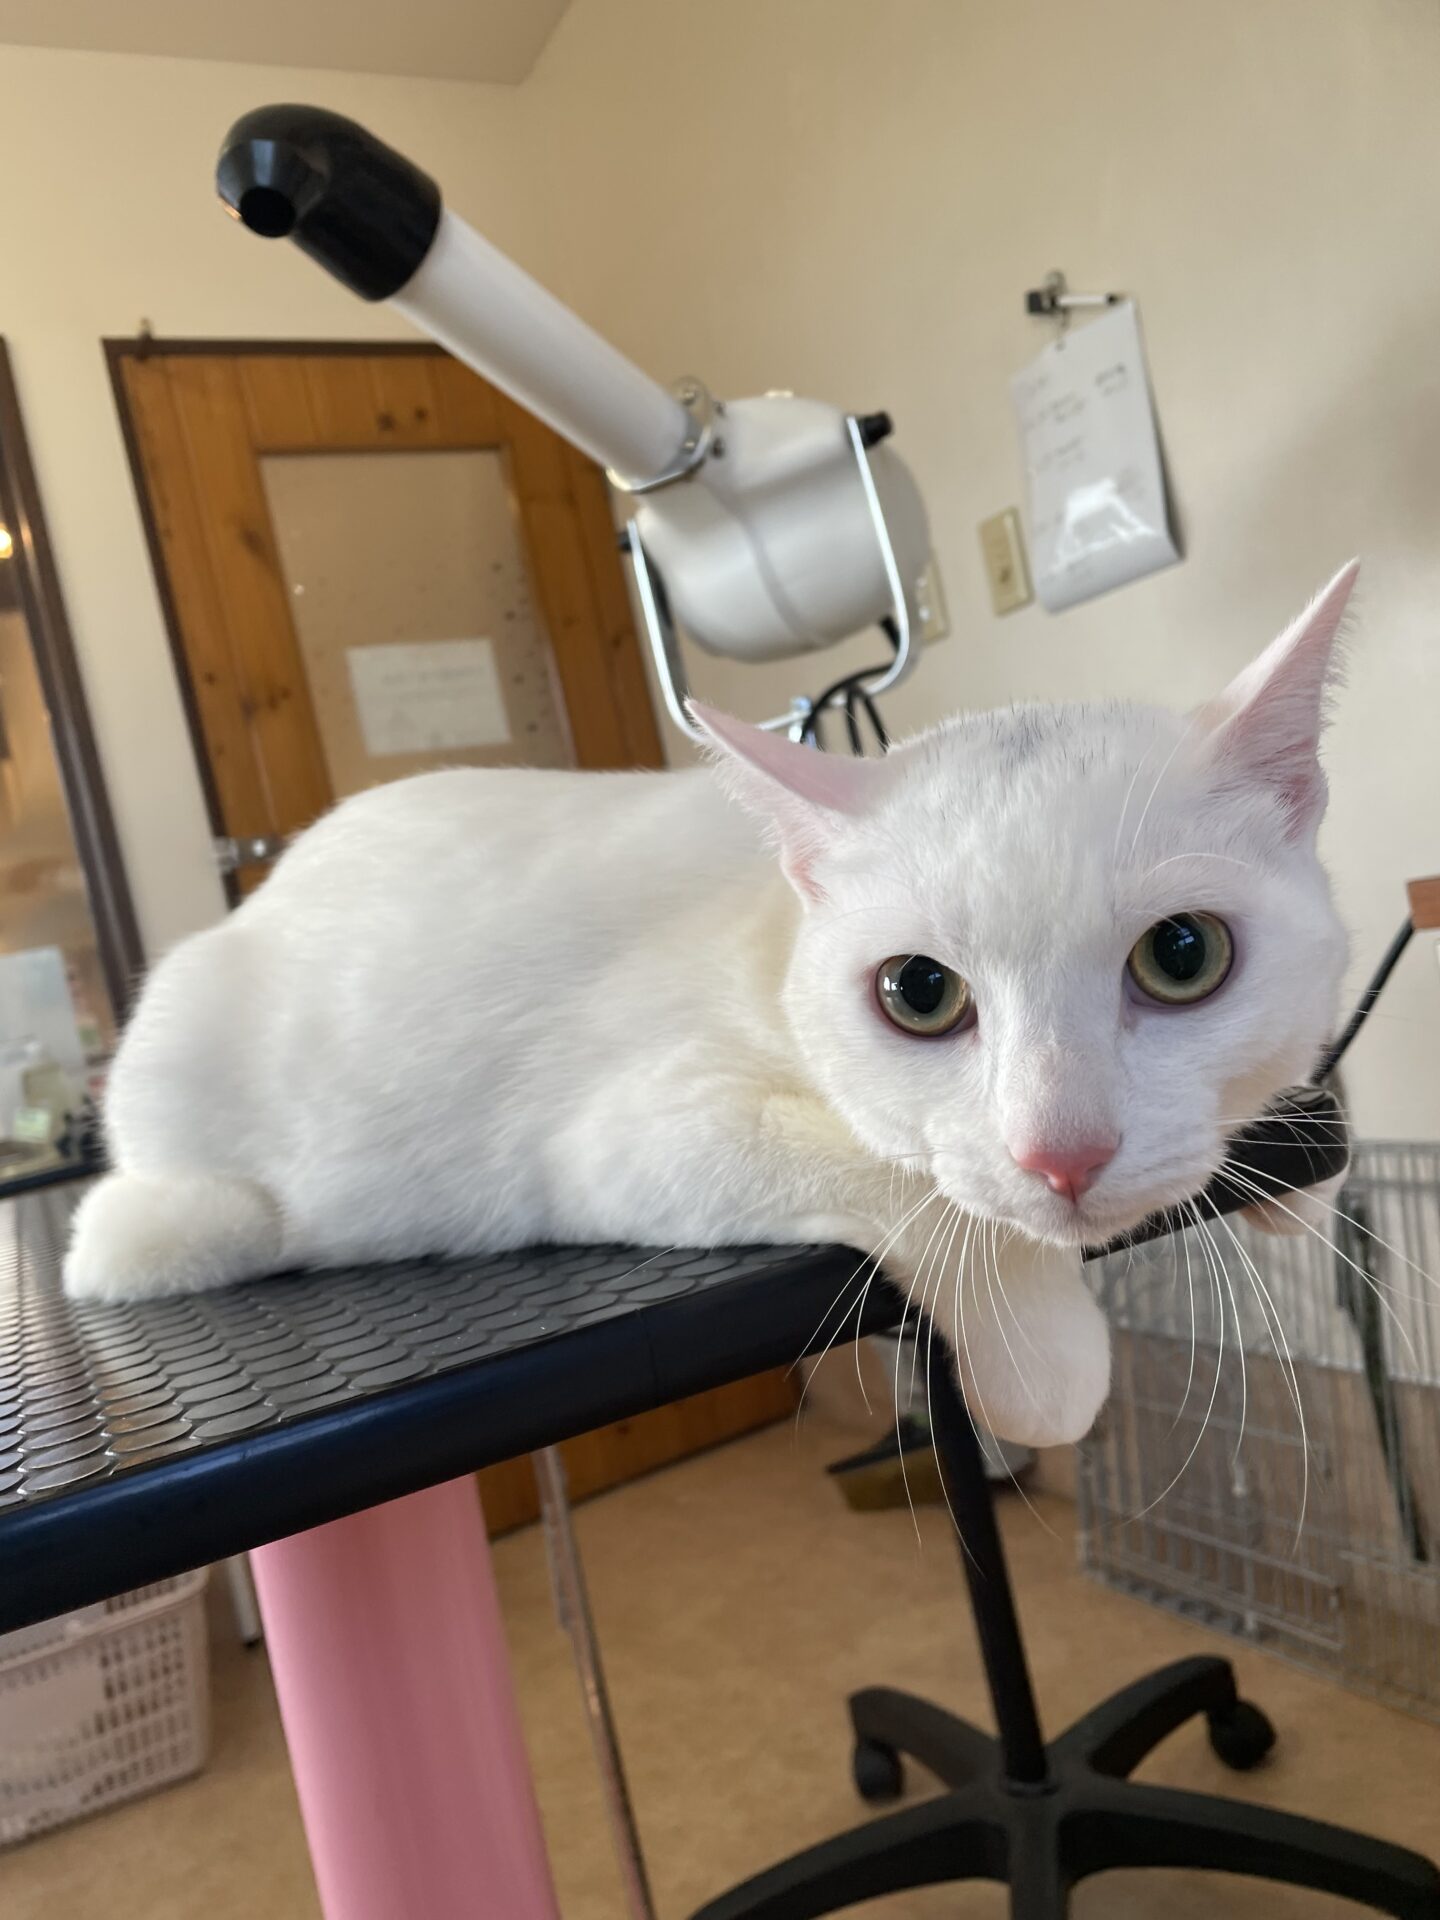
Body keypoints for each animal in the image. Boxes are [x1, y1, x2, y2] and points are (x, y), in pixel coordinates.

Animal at [63, 562, 1358, 1448]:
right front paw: (1046, 1361)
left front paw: (1292, 1188)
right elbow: (901, 1180)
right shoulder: (621, 1140)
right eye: (919, 993)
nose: (1063, 1154)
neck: (766, 926)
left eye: (1183, 955)